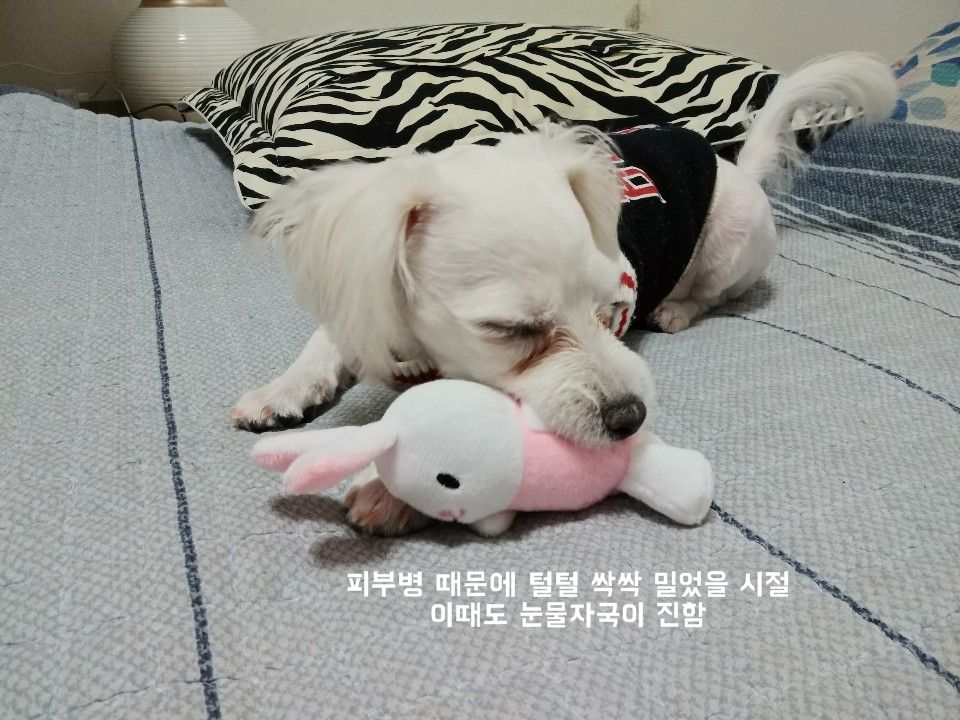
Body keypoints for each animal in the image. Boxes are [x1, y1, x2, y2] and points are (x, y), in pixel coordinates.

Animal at [234, 52, 896, 536]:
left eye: (610, 310)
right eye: (510, 330)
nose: (631, 417)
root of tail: (737, 167)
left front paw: (388, 490)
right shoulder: (367, 287)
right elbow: (330, 337)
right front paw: (282, 390)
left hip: (734, 241)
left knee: (716, 291)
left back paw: (676, 307)